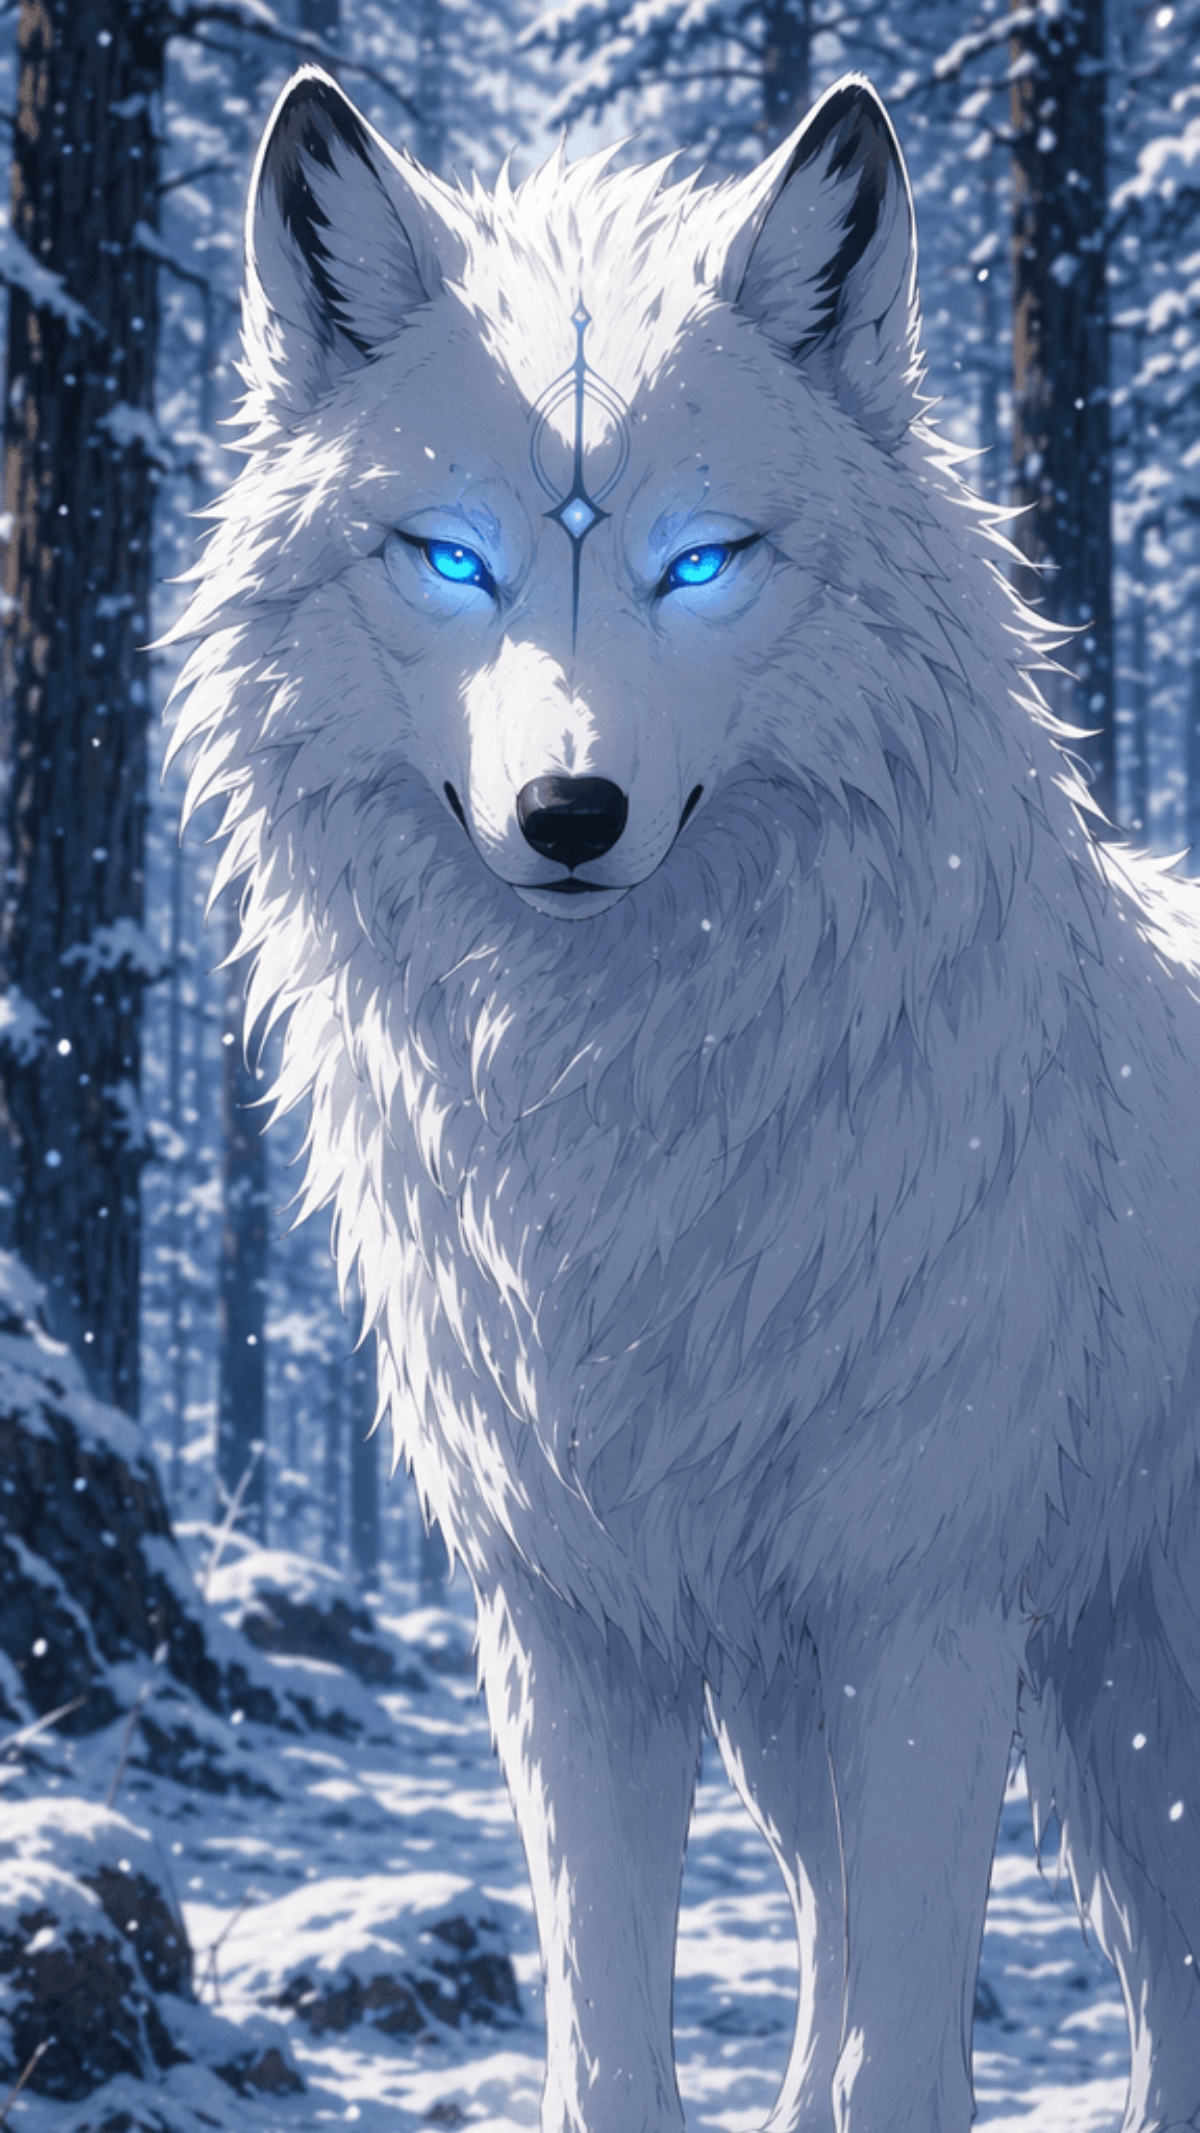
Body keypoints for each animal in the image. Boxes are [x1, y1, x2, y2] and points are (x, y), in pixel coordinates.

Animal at [169, 63, 1200, 2133]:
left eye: (701, 561)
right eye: (453, 556)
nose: (571, 811)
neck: (629, 1129)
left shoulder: (924, 1612)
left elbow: (907, 2063)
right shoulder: (575, 1637)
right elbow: (613, 2052)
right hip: (932, 1717)